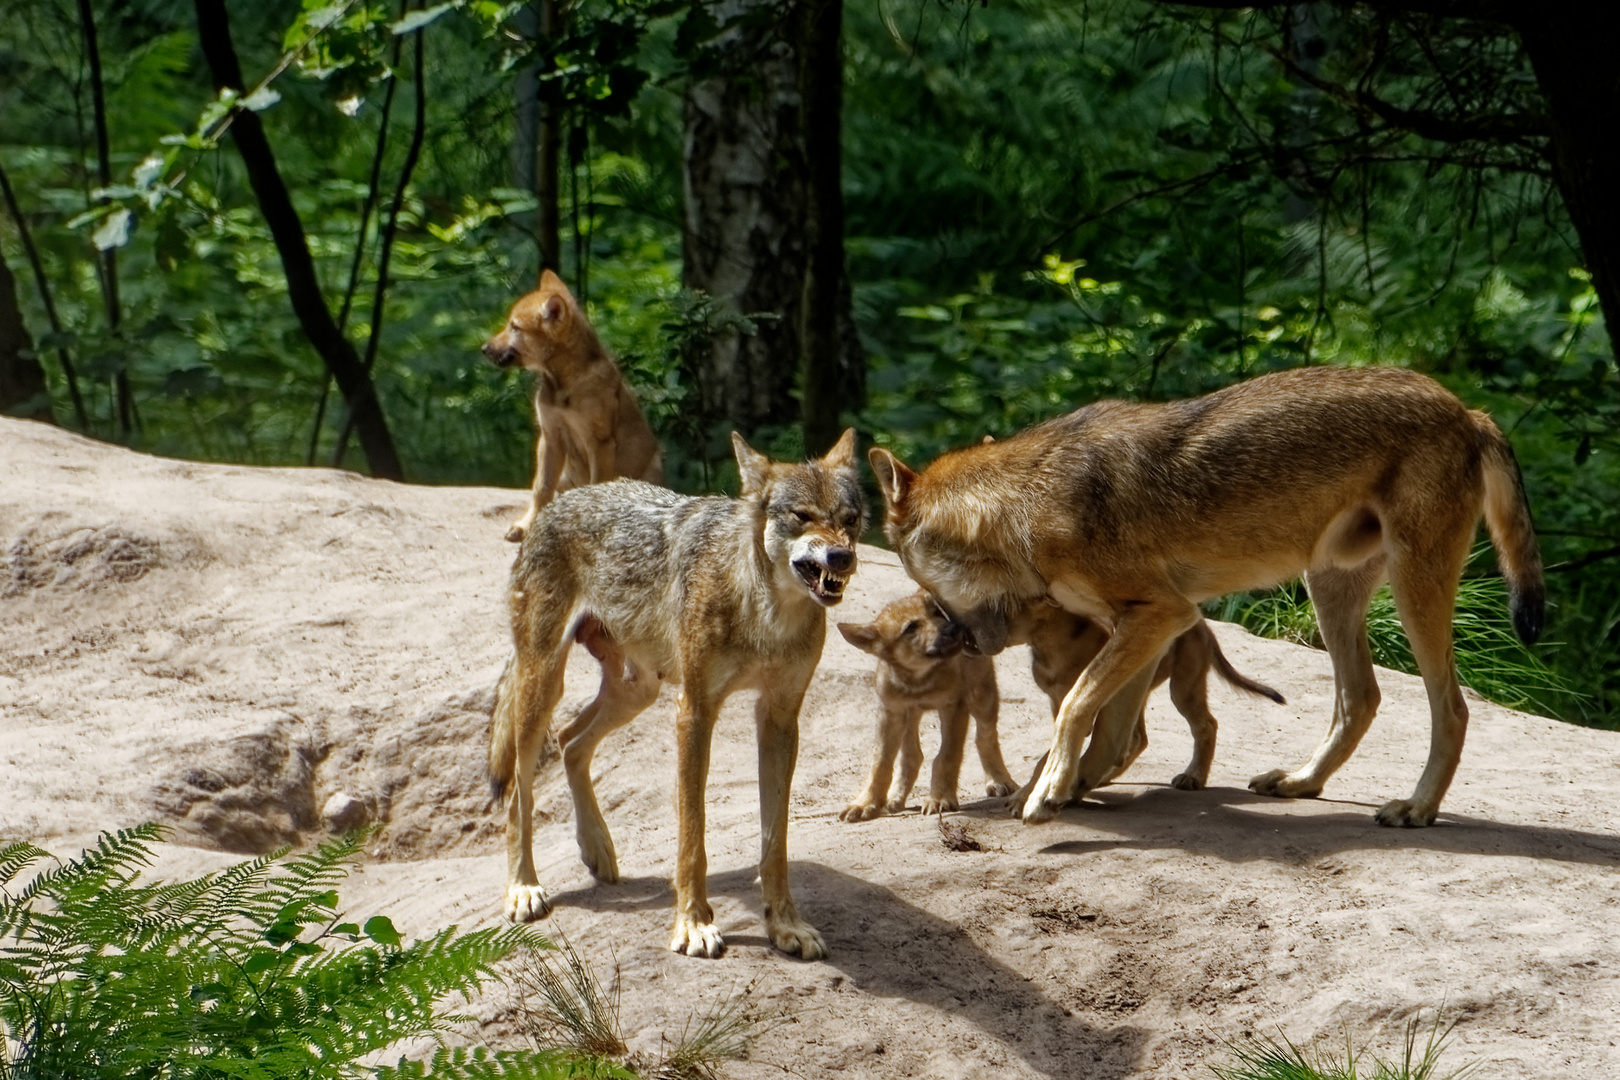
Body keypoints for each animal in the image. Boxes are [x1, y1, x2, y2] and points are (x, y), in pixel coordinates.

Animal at [479, 268, 664, 540]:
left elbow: (596, 487)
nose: (484, 348)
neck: (562, 386)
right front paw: (526, 526)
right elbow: (541, 488)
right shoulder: (550, 437)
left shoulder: (599, 443)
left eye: (514, 327)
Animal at [482, 427, 861, 958]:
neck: (765, 615)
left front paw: (786, 925)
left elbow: (775, 841)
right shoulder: (695, 713)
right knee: (520, 787)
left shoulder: (780, 718)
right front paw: (694, 924)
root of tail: (558, 502)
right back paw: (523, 888)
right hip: (545, 684)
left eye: (851, 520)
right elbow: (692, 836)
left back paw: (597, 849)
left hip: (637, 691)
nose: (841, 556)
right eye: (801, 516)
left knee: (571, 741)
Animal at [874, 367, 1542, 835]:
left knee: (1451, 708)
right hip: (1330, 588)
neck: (1022, 508)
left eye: (925, 590)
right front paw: (1059, 787)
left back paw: (1417, 808)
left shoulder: (1164, 614)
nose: (957, 639)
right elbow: (1110, 731)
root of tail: (1468, 411)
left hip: (1412, 589)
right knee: (1360, 698)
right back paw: (1302, 782)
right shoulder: (1145, 625)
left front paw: (1048, 791)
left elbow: (1077, 710)